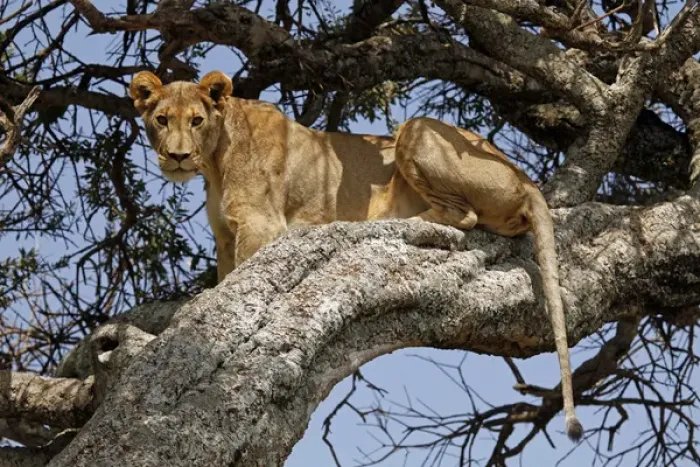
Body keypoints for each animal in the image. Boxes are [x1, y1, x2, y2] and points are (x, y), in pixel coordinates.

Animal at [129, 70, 582, 441]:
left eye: (197, 120)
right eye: (162, 120)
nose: (178, 157)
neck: (216, 159)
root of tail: (526, 179)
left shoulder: (262, 225)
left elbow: (244, 281)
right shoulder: (224, 237)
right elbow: (227, 281)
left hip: (416, 129)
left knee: (462, 214)